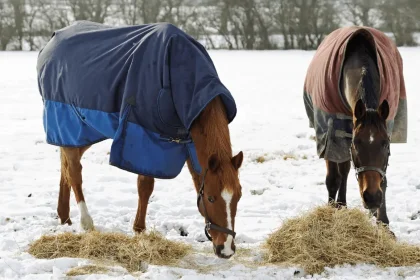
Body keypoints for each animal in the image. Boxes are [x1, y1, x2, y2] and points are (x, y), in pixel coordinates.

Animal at [39, 21, 244, 258]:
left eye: (238, 196)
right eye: (211, 197)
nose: (226, 249)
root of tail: (52, 40)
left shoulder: (191, 143)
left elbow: (195, 178)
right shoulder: (144, 138)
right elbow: (145, 186)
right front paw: (139, 230)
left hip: (83, 132)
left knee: (65, 167)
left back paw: (64, 217)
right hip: (69, 123)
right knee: (74, 171)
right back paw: (86, 221)